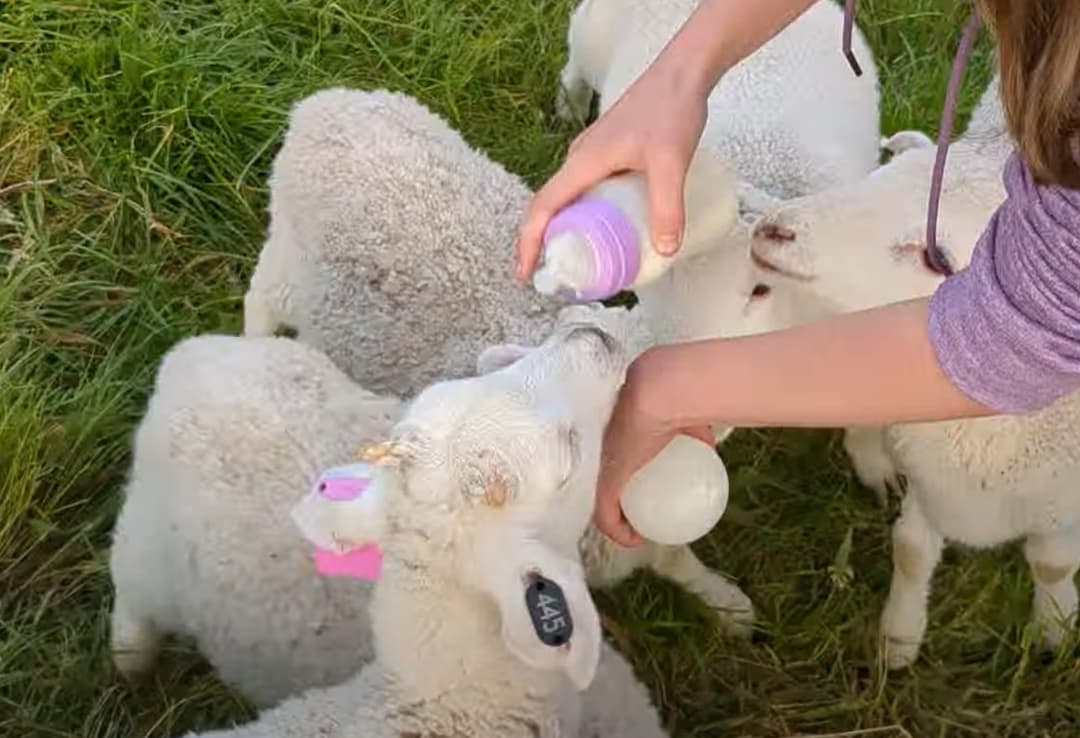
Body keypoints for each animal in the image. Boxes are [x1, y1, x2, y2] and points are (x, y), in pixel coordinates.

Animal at [240, 85, 756, 639]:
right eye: (758, 287)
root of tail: (325, 104)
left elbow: (678, 560)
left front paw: (731, 606)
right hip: (287, 261)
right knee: (259, 299)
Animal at [747, 75, 1080, 669]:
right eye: (877, 178)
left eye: (936, 257)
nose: (772, 230)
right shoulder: (929, 477)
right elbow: (910, 551)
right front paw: (898, 641)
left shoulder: (1062, 504)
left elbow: (1053, 563)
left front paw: (1055, 631)